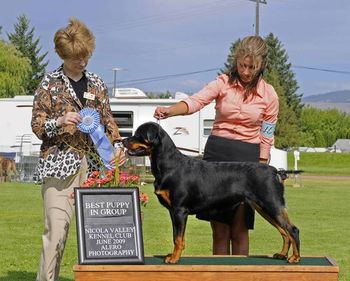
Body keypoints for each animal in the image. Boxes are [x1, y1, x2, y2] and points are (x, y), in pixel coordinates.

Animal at [121, 121, 300, 262]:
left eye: (138, 134)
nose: (122, 141)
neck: (169, 165)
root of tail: (275, 171)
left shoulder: (179, 210)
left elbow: (178, 238)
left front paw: (174, 258)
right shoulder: (173, 212)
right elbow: (175, 236)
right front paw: (173, 255)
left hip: (271, 203)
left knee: (292, 230)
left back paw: (295, 257)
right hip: (263, 207)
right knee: (284, 232)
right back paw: (282, 254)